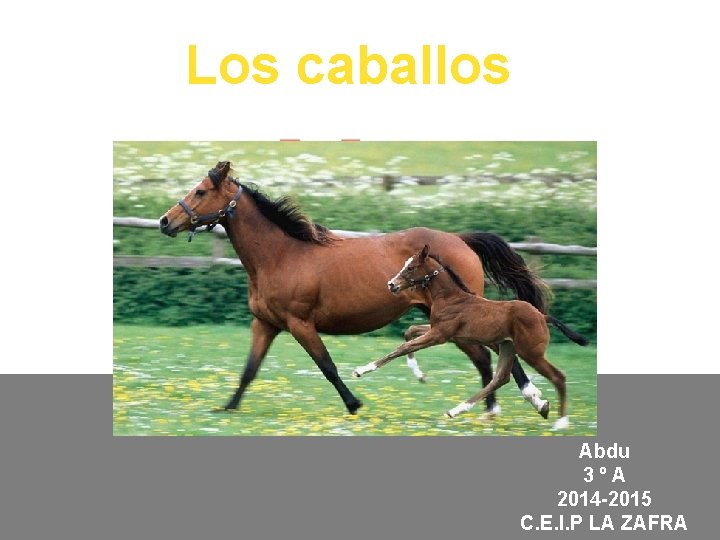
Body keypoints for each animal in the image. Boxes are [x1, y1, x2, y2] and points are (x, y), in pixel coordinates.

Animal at [159, 161, 551, 416]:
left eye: (201, 191)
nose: (165, 221)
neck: (281, 255)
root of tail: (460, 239)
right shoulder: (265, 324)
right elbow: (249, 370)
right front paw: (227, 407)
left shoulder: (300, 323)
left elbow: (327, 366)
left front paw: (354, 404)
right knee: (486, 357)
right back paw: (493, 408)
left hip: (461, 316)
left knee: (495, 356)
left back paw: (529, 401)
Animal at [352, 245, 589, 430]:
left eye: (410, 267)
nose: (392, 284)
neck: (451, 297)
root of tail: (542, 315)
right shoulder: (442, 332)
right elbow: (409, 332)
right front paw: (418, 374)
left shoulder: (439, 335)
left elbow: (403, 347)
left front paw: (361, 370)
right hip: (508, 347)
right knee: (500, 378)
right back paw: (457, 410)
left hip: (530, 352)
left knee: (558, 376)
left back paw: (561, 422)